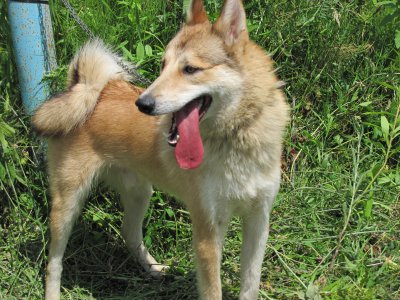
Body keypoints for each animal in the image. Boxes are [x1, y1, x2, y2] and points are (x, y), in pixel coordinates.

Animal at [31, 1, 288, 298]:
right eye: (164, 66)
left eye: (190, 69)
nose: (143, 104)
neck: (235, 136)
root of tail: (87, 89)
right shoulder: (208, 231)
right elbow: (213, 290)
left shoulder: (258, 221)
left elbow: (250, 284)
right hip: (67, 204)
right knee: (54, 261)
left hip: (140, 192)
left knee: (129, 233)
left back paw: (152, 268)